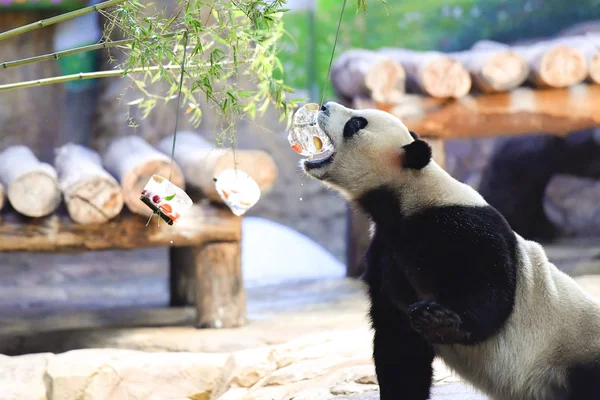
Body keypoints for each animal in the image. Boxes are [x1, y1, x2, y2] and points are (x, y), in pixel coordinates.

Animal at [302, 102, 600, 400]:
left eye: (356, 124)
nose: (325, 106)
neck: (406, 193)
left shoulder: (460, 223)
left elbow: (491, 289)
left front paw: (441, 321)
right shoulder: (385, 250)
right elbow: (399, 343)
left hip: (574, 351)